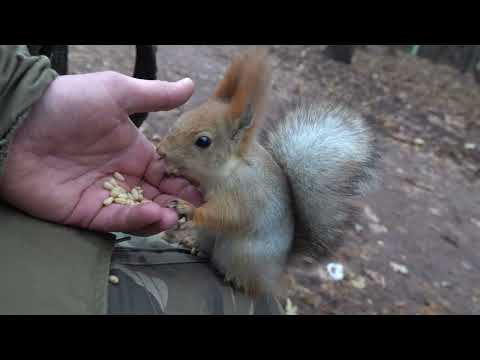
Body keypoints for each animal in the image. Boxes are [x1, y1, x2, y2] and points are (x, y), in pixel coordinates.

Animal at [156, 47, 376, 296]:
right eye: (183, 116)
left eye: (203, 141)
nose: (160, 151)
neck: (225, 170)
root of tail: (275, 273)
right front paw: (174, 172)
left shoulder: (246, 194)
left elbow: (228, 215)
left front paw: (189, 208)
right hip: (210, 236)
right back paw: (195, 246)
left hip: (241, 254)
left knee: (247, 281)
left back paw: (234, 279)